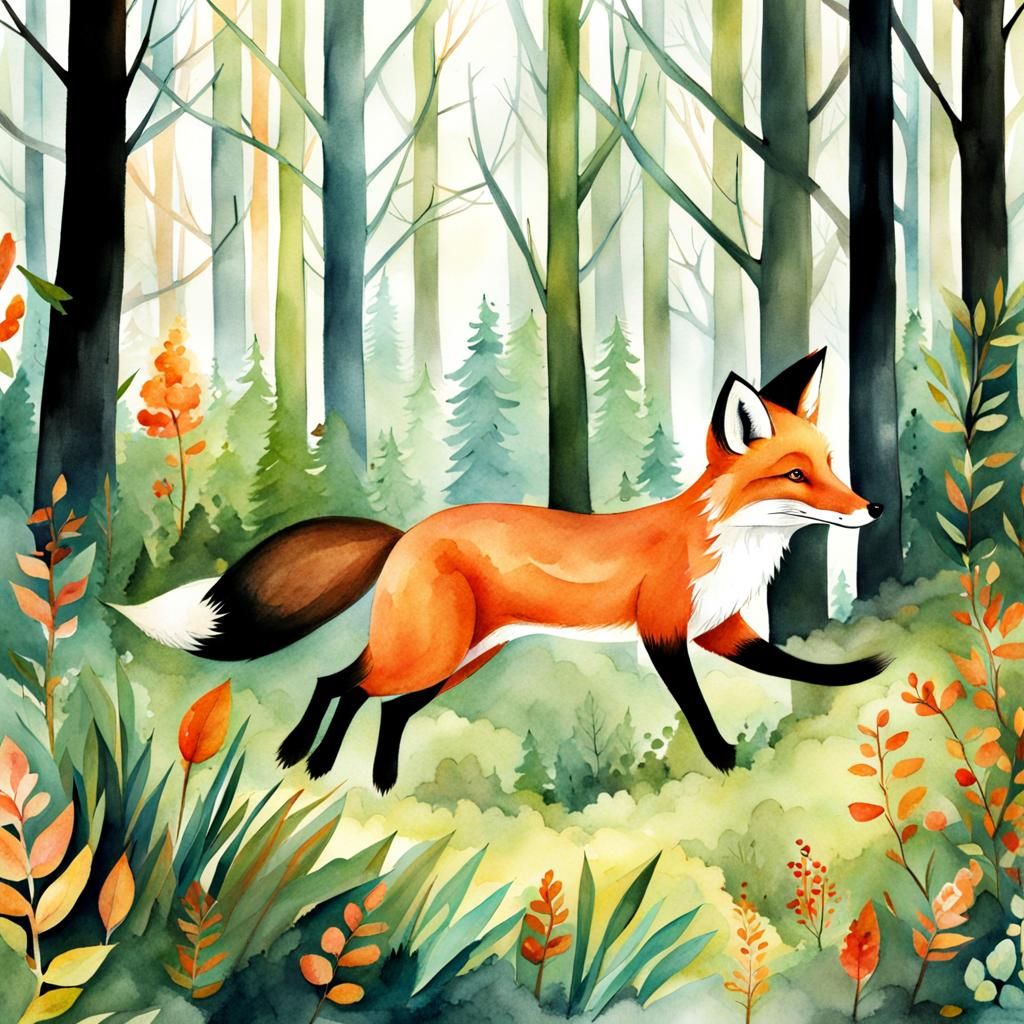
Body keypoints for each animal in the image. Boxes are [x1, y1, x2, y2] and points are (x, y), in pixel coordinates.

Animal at [113, 348, 889, 792]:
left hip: (460, 658)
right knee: (342, 681)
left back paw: (375, 777)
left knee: (383, 702)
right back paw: (306, 755)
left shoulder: (720, 630)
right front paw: (725, 760)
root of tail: (406, 531)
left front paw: (866, 671)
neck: (726, 545)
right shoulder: (665, 632)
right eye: (795, 474)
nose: (874, 506)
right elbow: (696, 706)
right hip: (431, 650)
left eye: (831, 463)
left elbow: (795, 667)